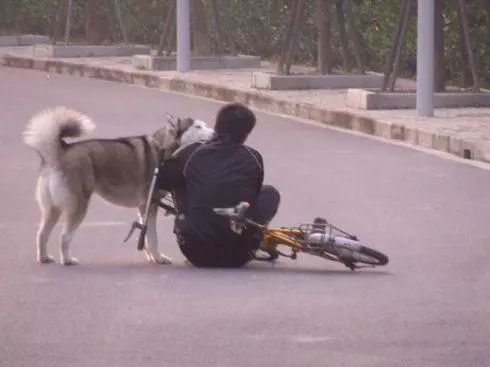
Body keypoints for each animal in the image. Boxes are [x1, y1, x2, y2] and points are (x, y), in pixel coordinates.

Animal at [23, 108, 214, 266]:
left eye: (205, 125)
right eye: (198, 126)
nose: (214, 133)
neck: (163, 148)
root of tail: (62, 150)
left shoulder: (143, 207)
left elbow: (144, 236)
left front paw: (151, 257)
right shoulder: (150, 205)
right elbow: (153, 238)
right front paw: (158, 258)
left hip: (53, 208)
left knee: (42, 233)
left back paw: (44, 257)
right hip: (78, 206)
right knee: (64, 236)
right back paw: (67, 260)